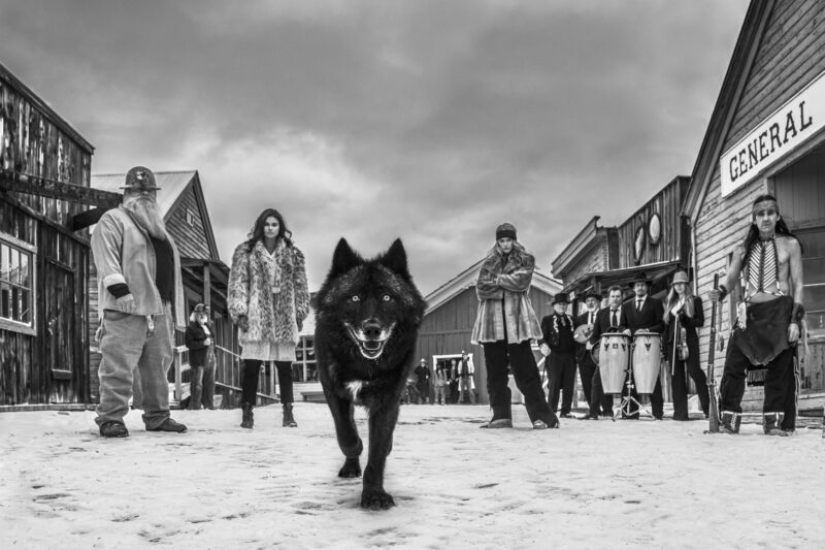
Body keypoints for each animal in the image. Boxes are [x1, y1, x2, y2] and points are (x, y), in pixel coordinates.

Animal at [314, 239, 424, 512]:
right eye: (354, 297)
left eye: (387, 296)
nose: (372, 329)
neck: (364, 365)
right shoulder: (333, 391)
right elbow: (346, 433)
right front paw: (357, 449)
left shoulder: (388, 400)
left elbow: (377, 452)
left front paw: (374, 495)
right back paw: (351, 465)